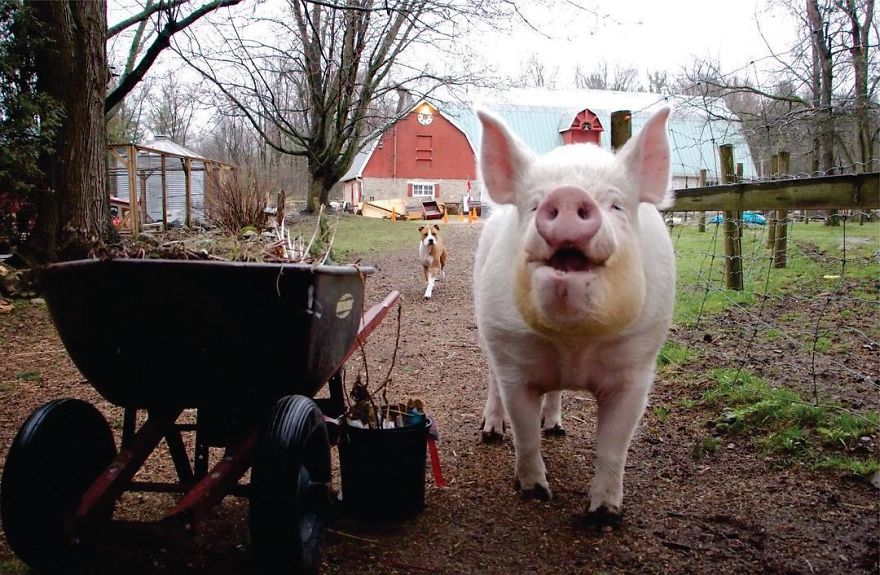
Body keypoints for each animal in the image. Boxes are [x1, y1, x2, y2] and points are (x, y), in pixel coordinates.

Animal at [473, 106, 676, 528]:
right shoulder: (513, 363)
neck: (573, 344)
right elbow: (526, 436)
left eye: (616, 205)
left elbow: (613, 448)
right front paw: (535, 494)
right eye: (534, 205)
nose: (567, 195)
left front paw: (603, 518)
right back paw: (491, 433)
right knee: (493, 383)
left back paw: (556, 428)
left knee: (555, 396)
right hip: (487, 334)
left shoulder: (636, 372)